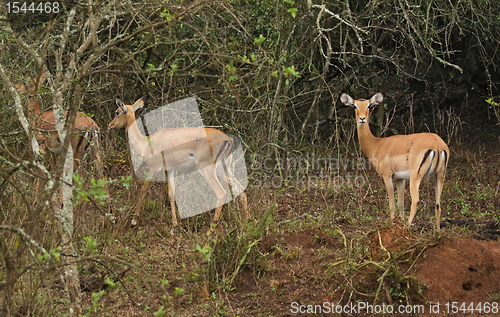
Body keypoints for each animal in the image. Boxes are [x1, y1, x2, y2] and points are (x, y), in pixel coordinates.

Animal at [109, 95, 250, 231]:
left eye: (117, 112)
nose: (110, 125)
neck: (146, 143)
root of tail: (228, 139)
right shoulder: (169, 170)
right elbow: (171, 194)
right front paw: (174, 226)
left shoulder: (154, 168)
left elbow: (143, 190)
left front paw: (133, 221)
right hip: (223, 168)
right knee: (241, 189)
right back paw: (247, 223)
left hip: (207, 169)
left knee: (221, 194)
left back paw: (210, 231)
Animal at [340, 91, 450, 230]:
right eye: (354, 106)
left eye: (369, 105)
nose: (362, 119)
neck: (377, 145)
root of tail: (437, 143)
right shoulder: (400, 178)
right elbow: (400, 203)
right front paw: (399, 221)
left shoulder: (387, 176)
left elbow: (392, 203)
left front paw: (393, 223)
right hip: (439, 175)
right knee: (438, 204)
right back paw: (437, 231)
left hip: (416, 176)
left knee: (416, 201)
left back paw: (407, 227)